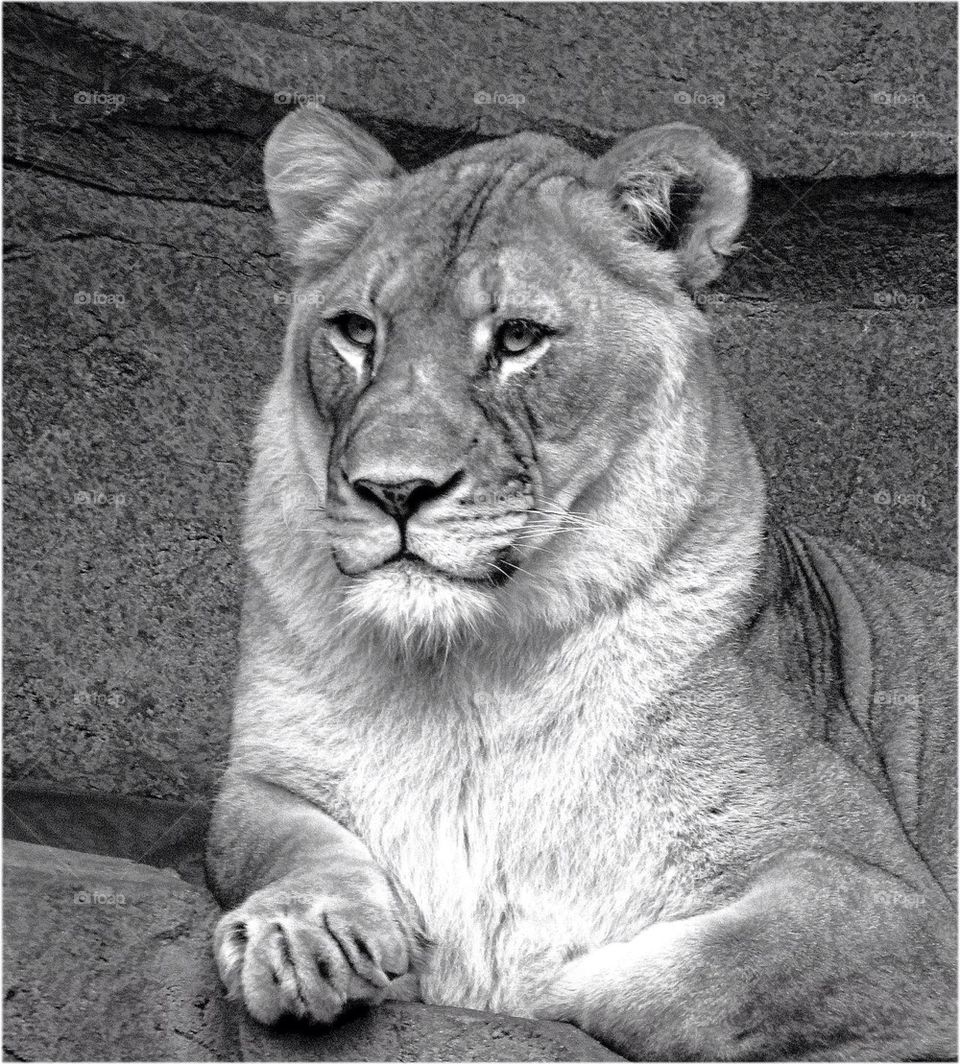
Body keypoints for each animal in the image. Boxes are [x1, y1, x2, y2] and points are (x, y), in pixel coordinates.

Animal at [205, 105, 956, 1060]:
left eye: (518, 338)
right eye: (358, 331)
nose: (394, 490)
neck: (468, 671)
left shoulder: (892, 905)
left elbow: (681, 984)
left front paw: (489, 970)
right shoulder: (259, 778)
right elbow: (281, 845)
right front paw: (301, 935)